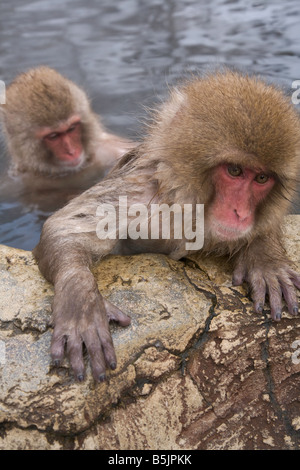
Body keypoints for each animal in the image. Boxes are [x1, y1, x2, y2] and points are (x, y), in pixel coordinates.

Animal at [33, 71, 300, 384]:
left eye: (261, 178)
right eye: (234, 171)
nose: (241, 213)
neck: (190, 205)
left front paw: (265, 259)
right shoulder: (140, 192)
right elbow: (65, 226)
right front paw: (80, 303)